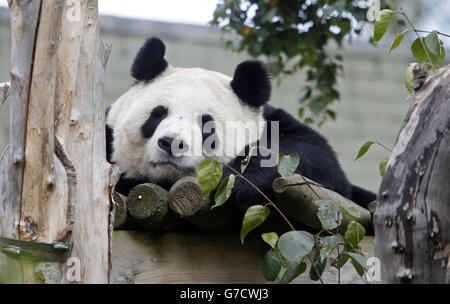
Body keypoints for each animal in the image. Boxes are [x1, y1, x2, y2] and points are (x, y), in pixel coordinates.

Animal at [106, 38, 376, 214]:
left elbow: (316, 156)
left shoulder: (275, 123)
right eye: (158, 114)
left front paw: (238, 181)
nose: (172, 143)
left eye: (206, 125)